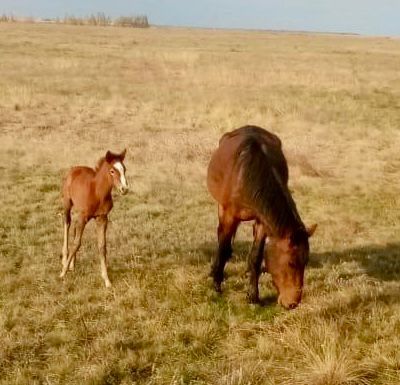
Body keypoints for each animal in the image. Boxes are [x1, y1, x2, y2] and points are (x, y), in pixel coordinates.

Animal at [59, 148, 128, 286]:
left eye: (124, 169)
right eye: (112, 171)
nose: (124, 189)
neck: (97, 192)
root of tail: (74, 169)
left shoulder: (102, 218)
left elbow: (102, 246)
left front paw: (106, 280)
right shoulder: (83, 217)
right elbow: (76, 244)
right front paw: (63, 272)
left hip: (78, 213)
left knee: (74, 230)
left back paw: (72, 265)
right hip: (67, 204)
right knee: (67, 224)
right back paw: (65, 261)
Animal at [206, 126, 316, 308]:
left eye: (306, 262)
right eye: (291, 263)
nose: (292, 303)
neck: (246, 174)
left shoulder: (263, 222)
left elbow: (256, 257)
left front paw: (253, 296)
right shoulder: (229, 215)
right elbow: (222, 246)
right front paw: (216, 285)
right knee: (221, 237)